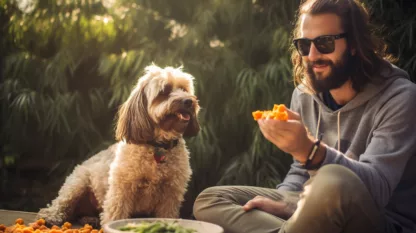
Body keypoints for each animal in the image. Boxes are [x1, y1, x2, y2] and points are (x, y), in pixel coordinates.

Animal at [36, 64, 201, 228]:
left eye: (184, 89)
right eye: (164, 91)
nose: (189, 101)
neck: (158, 146)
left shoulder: (171, 194)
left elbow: (167, 214)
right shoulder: (122, 189)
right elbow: (116, 213)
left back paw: (90, 219)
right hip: (77, 183)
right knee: (61, 204)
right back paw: (51, 216)